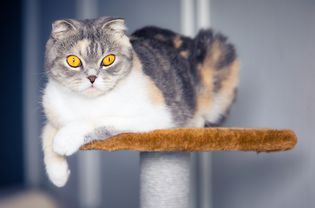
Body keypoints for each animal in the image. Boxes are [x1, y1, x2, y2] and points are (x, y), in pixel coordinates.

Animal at [42, 16, 239, 187]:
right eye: (73, 60)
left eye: (108, 59)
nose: (92, 78)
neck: (86, 103)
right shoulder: (53, 110)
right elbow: (46, 133)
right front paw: (58, 175)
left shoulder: (157, 115)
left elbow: (98, 120)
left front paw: (65, 139)